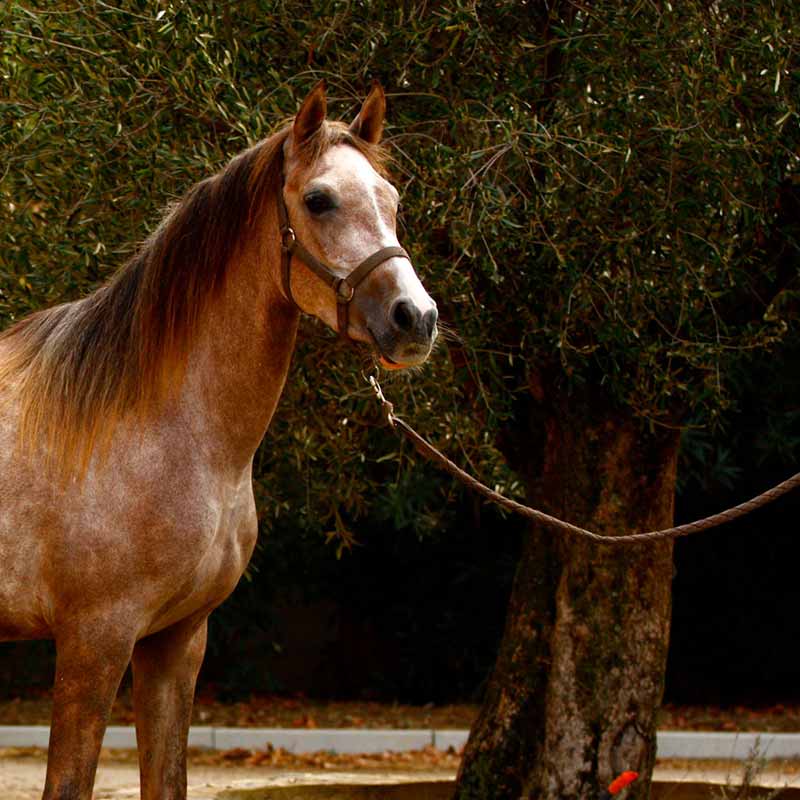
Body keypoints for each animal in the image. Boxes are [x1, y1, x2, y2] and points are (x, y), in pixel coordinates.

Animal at [0, 80, 437, 800]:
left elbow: (168, 779)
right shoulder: (95, 640)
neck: (158, 426)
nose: (416, 318)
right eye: (318, 200)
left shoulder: (177, 642)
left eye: (393, 200)